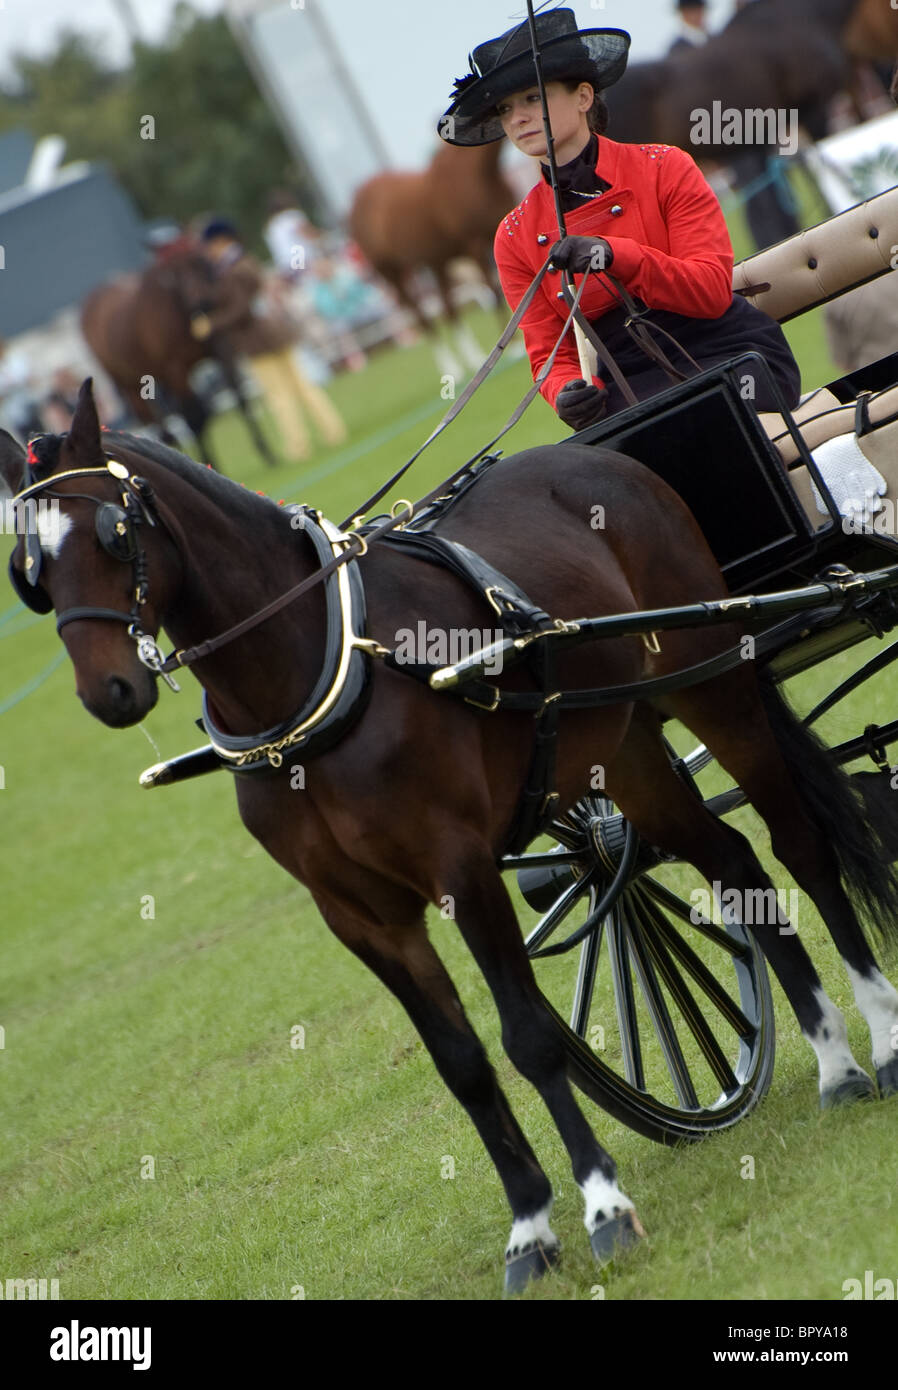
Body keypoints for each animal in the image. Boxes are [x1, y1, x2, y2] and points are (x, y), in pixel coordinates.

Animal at [7, 378, 898, 1289]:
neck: (321, 670)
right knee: (733, 864)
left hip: (715, 683)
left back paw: (871, 1044)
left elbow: (530, 1038)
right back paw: (832, 1057)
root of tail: (606, 463)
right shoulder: (359, 916)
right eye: (29, 569)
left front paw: (605, 1210)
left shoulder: (461, 867)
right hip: (622, 748)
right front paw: (530, 1230)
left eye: (113, 533)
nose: (108, 692)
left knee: (798, 848)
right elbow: (462, 1063)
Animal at [82, 247, 276, 469]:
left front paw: (266, 451)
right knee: (151, 418)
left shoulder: (221, 351)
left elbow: (240, 397)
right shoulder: (176, 368)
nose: (203, 301)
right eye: (175, 272)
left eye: (200, 262)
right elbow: (194, 415)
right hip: (126, 380)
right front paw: (207, 462)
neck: (183, 313)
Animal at [351, 143, 519, 378]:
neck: (479, 172)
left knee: (449, 310)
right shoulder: (474, 244)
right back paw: (451, 367)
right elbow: (494, 291)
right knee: (423, 318)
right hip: (391, 273)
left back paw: (471, 358)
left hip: (436, 264)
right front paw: (515, 346)